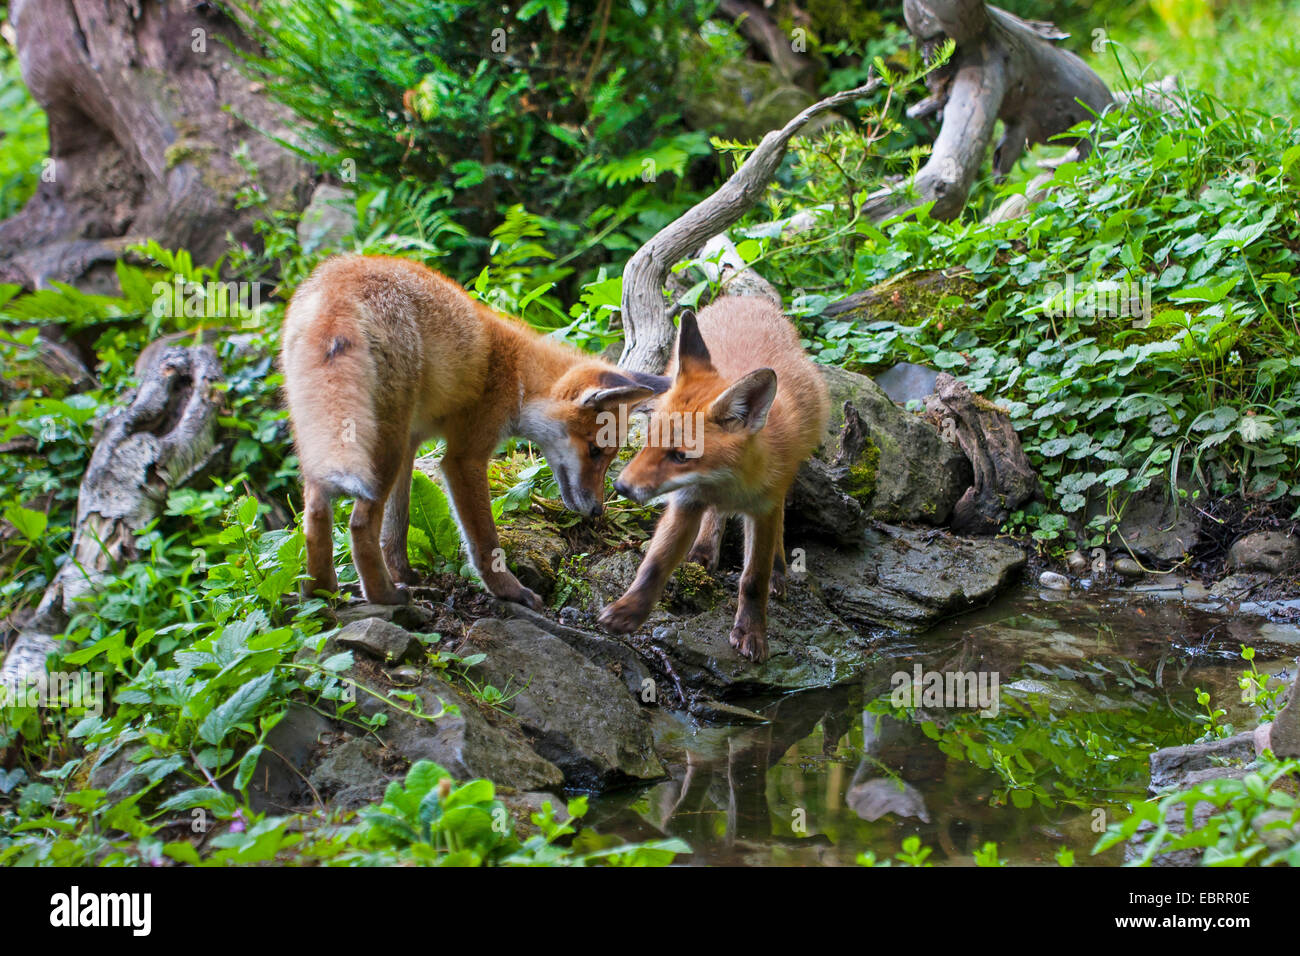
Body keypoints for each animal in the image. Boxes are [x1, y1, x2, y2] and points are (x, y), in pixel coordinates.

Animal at [284, 256, 670, 606]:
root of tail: (338, 283)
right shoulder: (463, 458)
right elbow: (484, 543)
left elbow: (397, 525)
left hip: (338, 441)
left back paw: (323, 592)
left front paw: (405, 573)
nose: (597, 512)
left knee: (315, 513)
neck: (518, 372)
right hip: (380, 448)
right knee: (360, 524)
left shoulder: (411, 442)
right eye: (594, 451)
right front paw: (508, 591)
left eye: (608, 456)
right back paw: (384, 596)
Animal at [600, 299, 832, 665]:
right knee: (713, 518)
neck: (725, 483)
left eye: (680, 456)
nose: (620, 488)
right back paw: (703, 550)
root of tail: (744, 300)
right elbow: (654, 565)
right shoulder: (686, 501)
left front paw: (751, 632)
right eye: (649, 439)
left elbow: (753, 579)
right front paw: (629, 611)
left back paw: (779, 570)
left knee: (779, 527)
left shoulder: (764, 508)